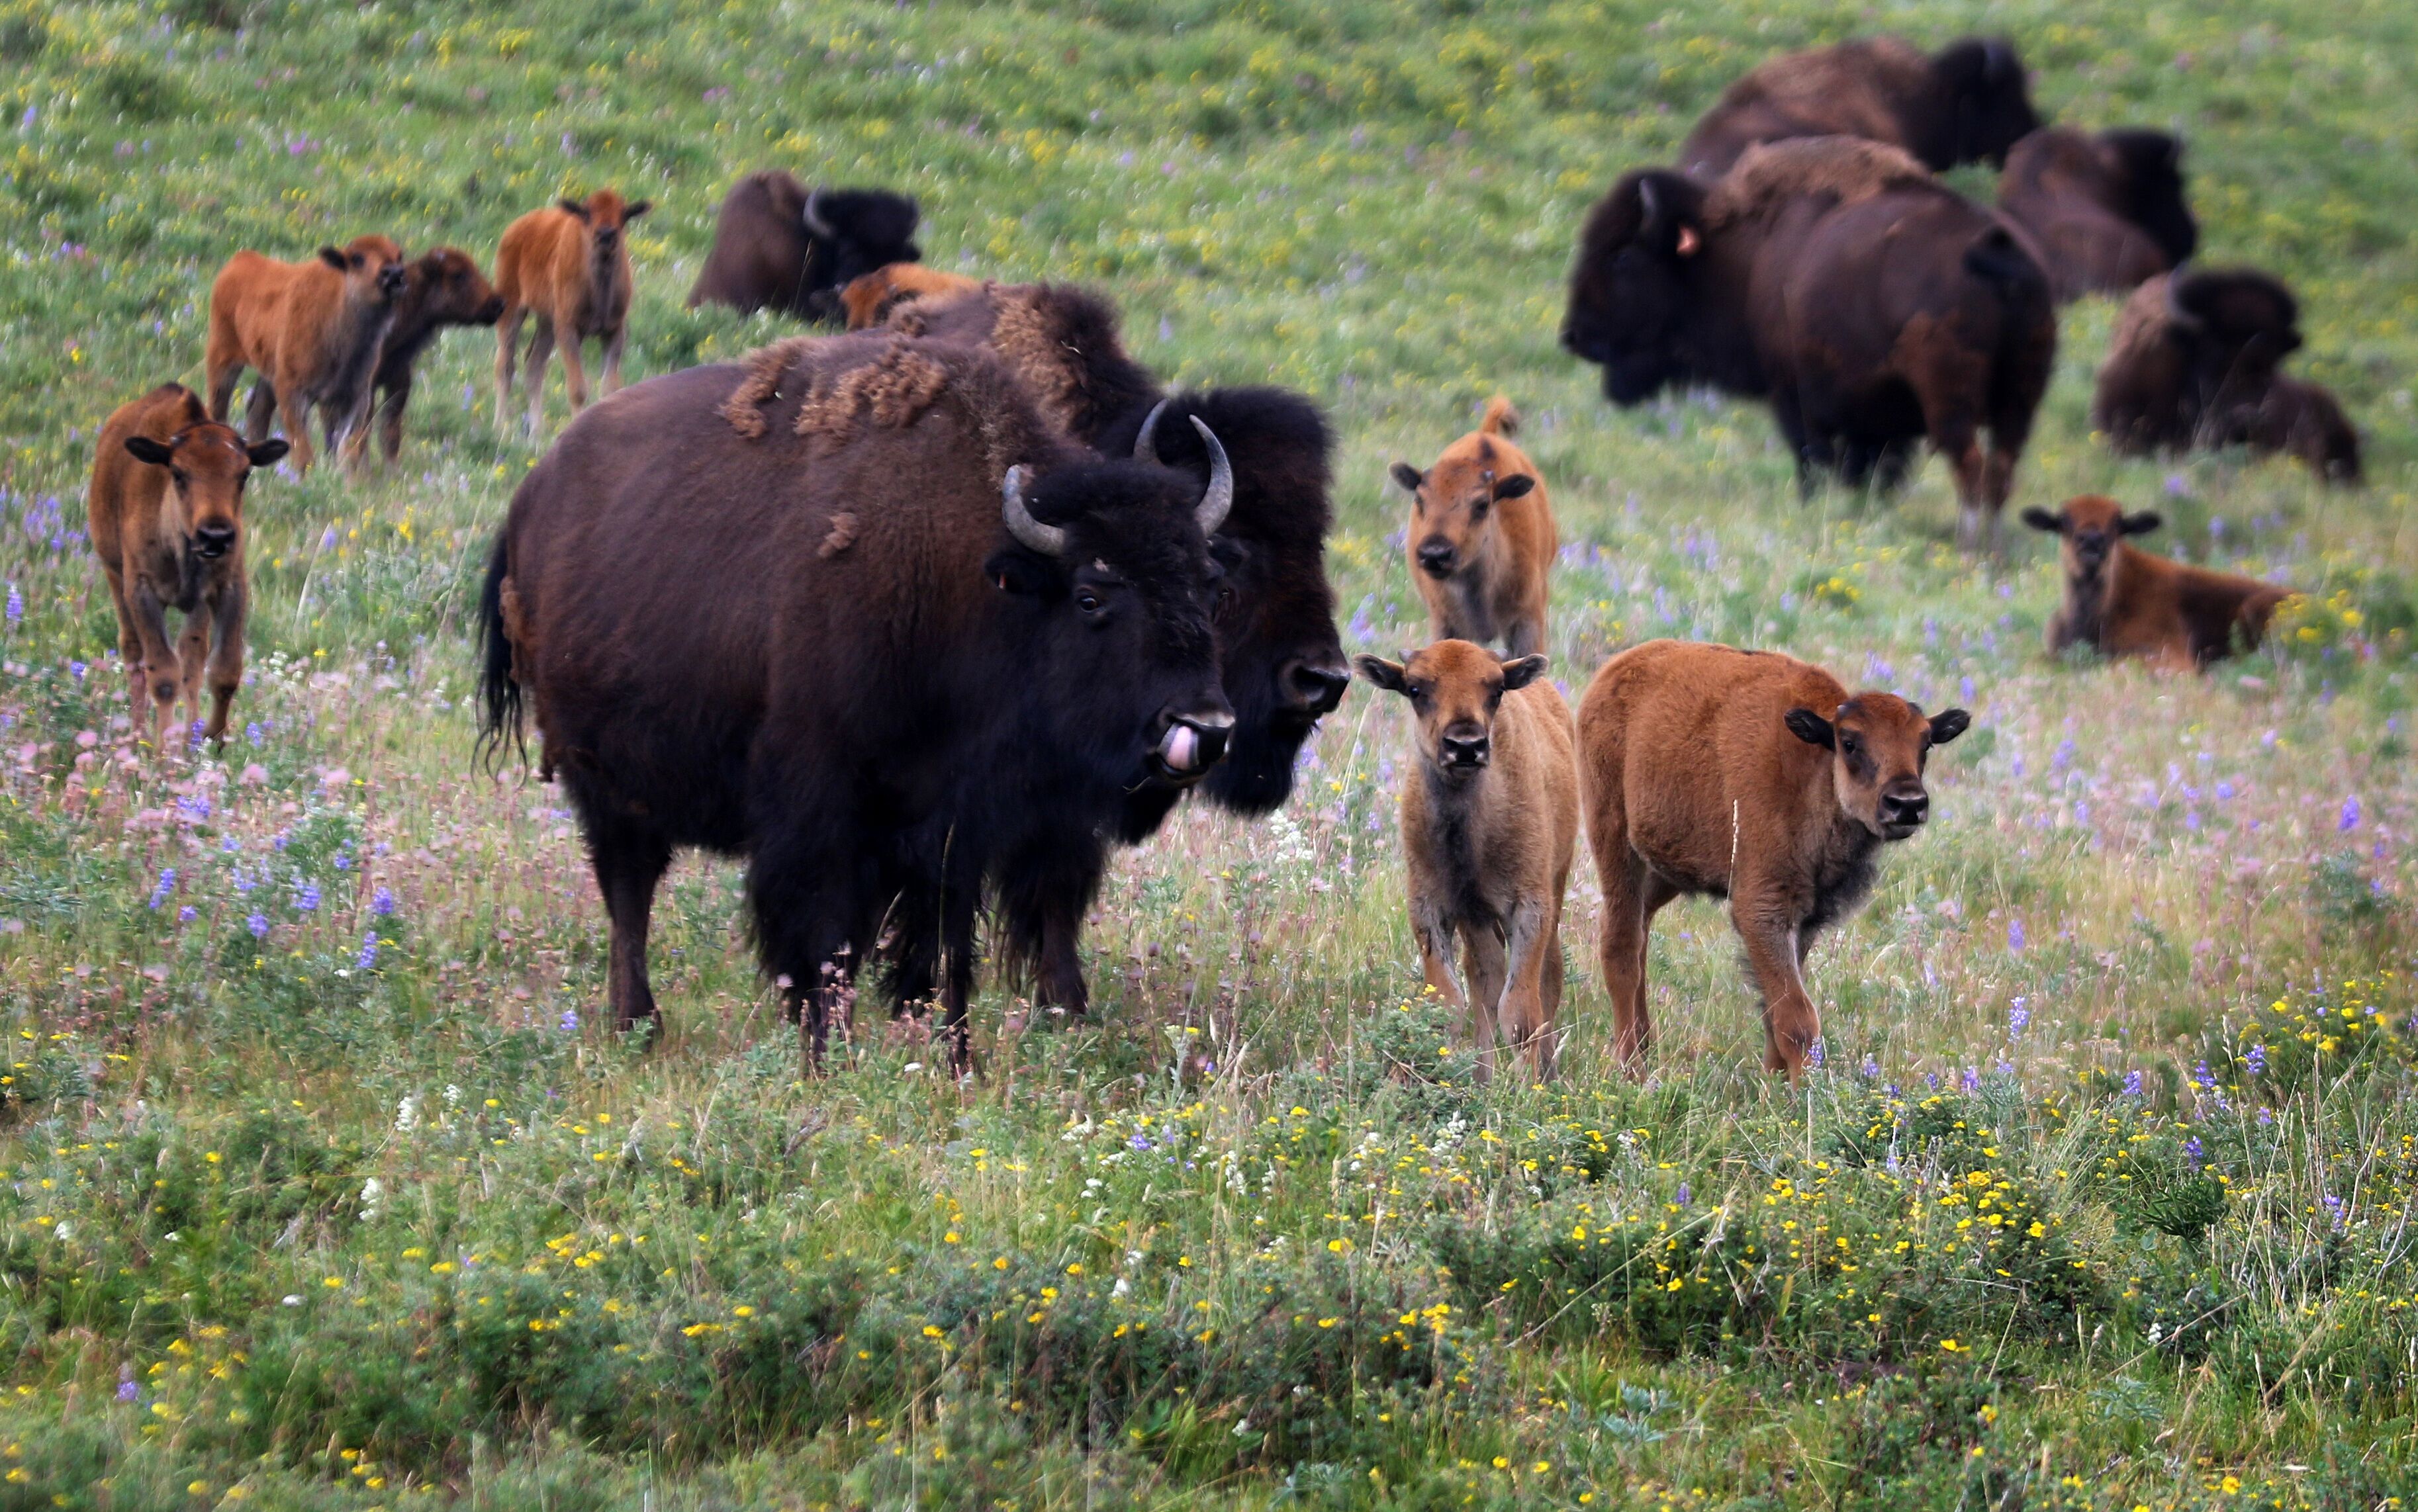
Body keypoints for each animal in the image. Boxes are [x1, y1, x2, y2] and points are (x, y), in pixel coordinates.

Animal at [479, 332, 1236, 1064]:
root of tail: (529, 504)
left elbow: (944, 952)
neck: (972, 582)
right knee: (629, 893)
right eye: (1090, 596)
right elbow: (823, 944)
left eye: (1207, 583)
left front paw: (956, 1060)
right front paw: (827, 1059)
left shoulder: (952, 831)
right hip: (602, 782)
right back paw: (640, 1025)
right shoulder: (819, 814)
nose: (1205, 726)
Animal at [1562, 137, 2056, 550]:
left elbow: (1812, 460)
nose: (1573, 336)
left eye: (1623, 257)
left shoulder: (1796, 397)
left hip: (1951, 401)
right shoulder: (1877, 421)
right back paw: (1993, 547)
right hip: (2019, 401)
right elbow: (1870, 470)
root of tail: (1998, 254)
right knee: (2001, 468)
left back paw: (1970, 546)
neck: (1749, 250)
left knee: (1970, 465)